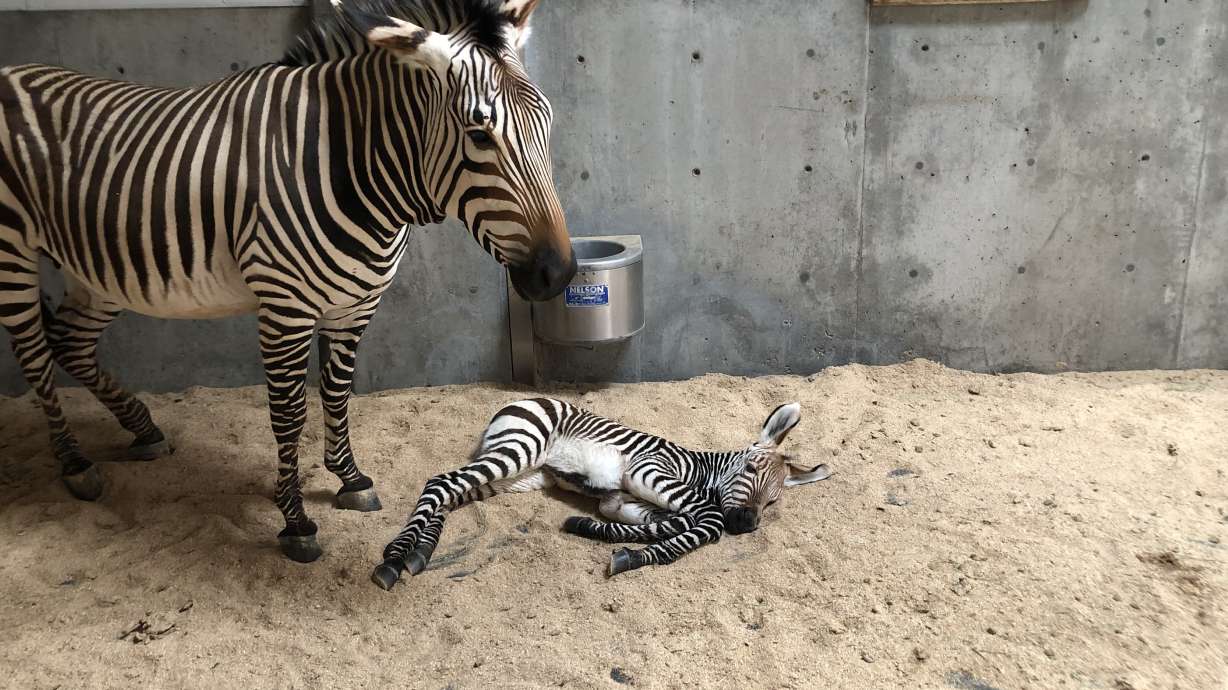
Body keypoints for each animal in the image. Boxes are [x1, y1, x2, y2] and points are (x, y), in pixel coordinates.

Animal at [0, 0, 575, 563]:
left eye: (548, 123)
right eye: (479, 136)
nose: (560, 274)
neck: (357, 171)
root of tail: (12, 70)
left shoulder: (357, 302)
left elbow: (338, 393)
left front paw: (349, 479)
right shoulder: (285, 308)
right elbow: (290, 412)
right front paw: (295, 522)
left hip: (96, 266)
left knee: (69, 342)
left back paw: (143, 428)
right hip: (13, 250)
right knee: (35, 354)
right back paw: (75, 464)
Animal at [371, 399, 833, 589]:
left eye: (772, 502)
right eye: (750, 470)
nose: (748, 525)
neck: (698, 470)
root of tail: (517, 400)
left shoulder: (623, 501)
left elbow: (666, 524)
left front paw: (606, 537)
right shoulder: (650, 471)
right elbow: (706, 521)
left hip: (523, 476)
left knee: (450, 494)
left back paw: (417, 554)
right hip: (521, 449)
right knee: (440, 482)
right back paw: (395, 555)